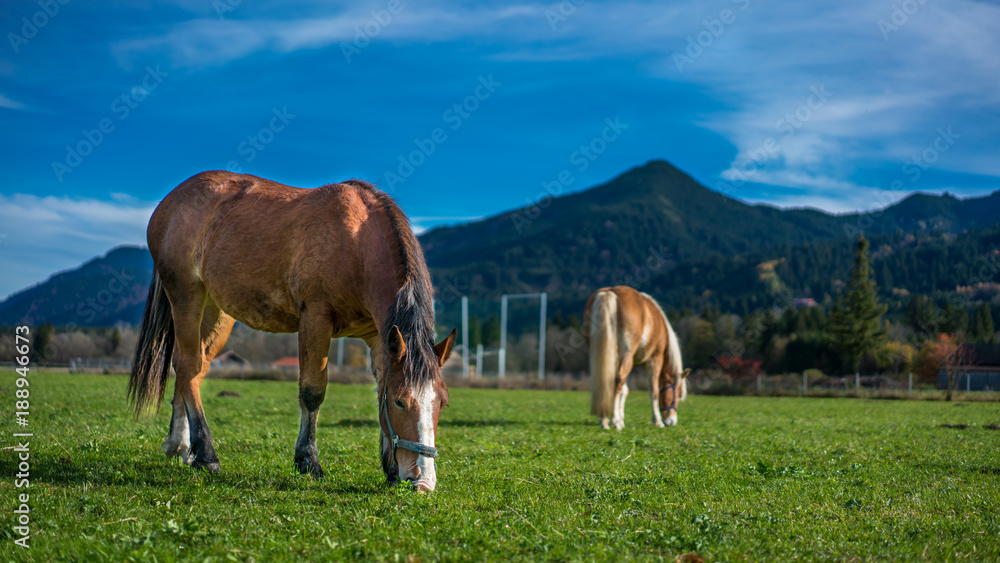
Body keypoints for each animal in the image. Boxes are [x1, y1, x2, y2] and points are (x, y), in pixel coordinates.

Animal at [128, 171, 455, 492]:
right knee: (187, 364)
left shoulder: (380, 336)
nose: (423, 481)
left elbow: (379, 391)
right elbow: (312, 392)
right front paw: (308, 460)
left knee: (192, 369)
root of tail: (171, 200)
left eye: (442, 402)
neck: (358, 241)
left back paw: (182, 446)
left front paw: (389, 469)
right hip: (185, 294)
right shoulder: (315, 319)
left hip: (216, 311)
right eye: (400, 401)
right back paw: (206, 454)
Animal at [584, 286, 689, 429]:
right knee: (617, 381)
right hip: (626, 355)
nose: (672, 421)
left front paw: (621, 419)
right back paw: (613, 421)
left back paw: (604, 420)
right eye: (678, 394)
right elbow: (654, 391)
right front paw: (657, 421)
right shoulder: (654, 360)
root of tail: (610, 292)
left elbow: (625, 390)